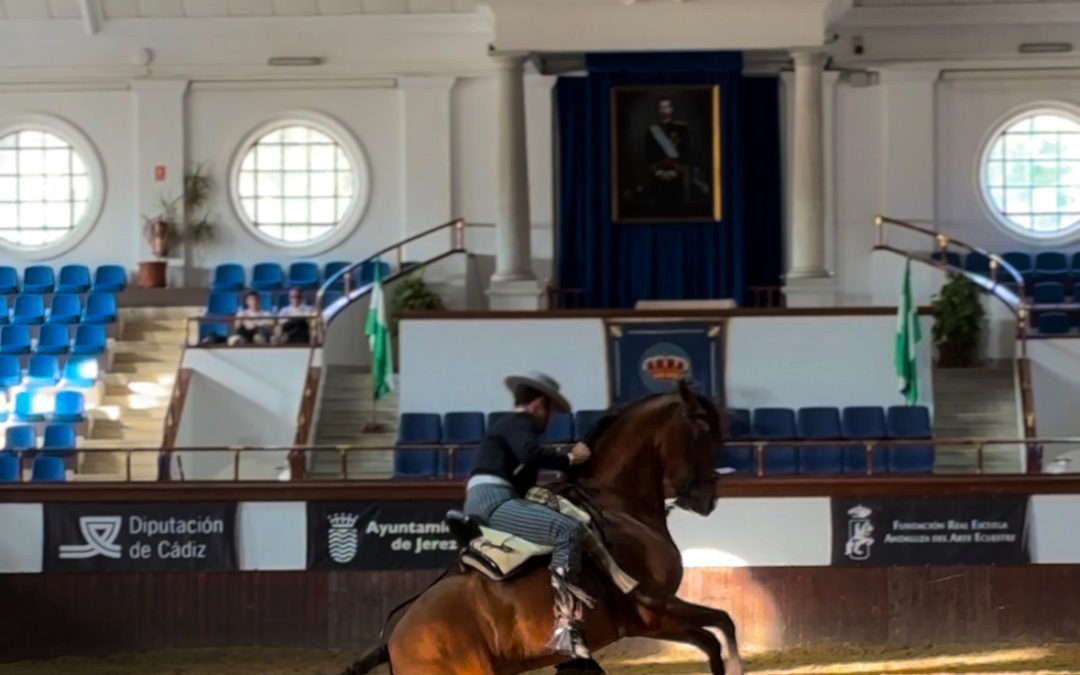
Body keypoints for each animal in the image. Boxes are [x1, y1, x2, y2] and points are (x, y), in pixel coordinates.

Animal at [339, 380, 743, 673]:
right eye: (703, 432)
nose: (708, 498)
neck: (619, 505)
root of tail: (393, 641)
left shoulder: (657, 618)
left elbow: (712, 639)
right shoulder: (654, 611)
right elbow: (723, 624)